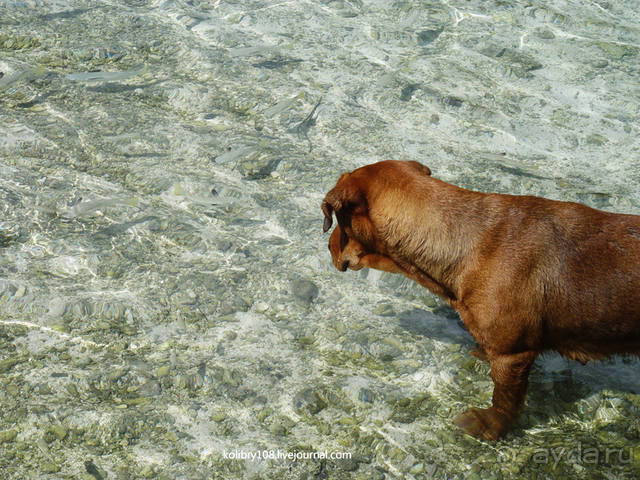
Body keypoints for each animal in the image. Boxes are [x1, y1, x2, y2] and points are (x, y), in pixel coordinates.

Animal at [322, 159, 640, 440]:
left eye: (339, 224)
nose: (327, 246)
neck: (470, 242)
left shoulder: (513, 356)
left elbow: (504, 401)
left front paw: (490, 427)